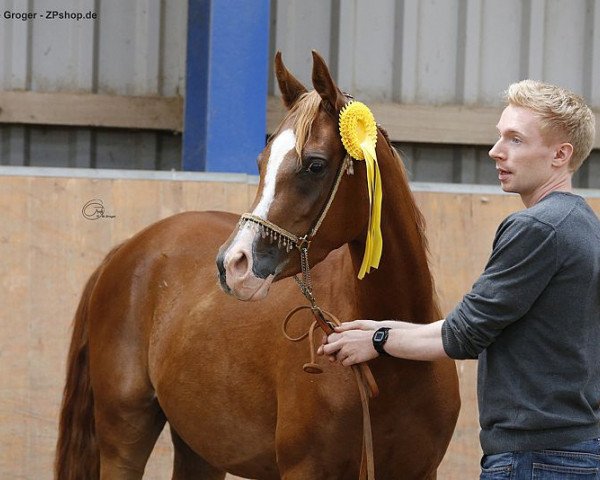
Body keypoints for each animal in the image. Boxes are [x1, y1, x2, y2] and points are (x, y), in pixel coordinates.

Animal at [56, 50, 460, 478]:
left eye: (315, 165)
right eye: (261, 161)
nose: (232, 264)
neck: (390, 363)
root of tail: (126, 249)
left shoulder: (421, 471)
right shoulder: (305, 469)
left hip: (201, 447)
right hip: (124, 434)